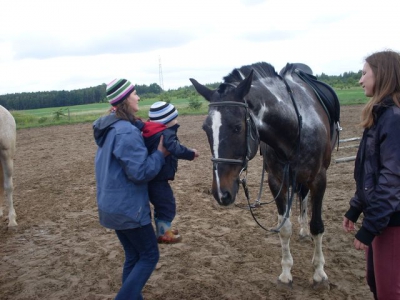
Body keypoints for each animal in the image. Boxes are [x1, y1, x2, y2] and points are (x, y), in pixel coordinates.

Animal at [189, 61, 340, 288]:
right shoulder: (276, 181)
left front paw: (319, 272)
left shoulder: (319, 179)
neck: (296, 126)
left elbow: (317, 226)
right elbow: (284, 228)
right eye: (206, 129)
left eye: (237, 127)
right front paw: (286, 272)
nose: (221, 193)